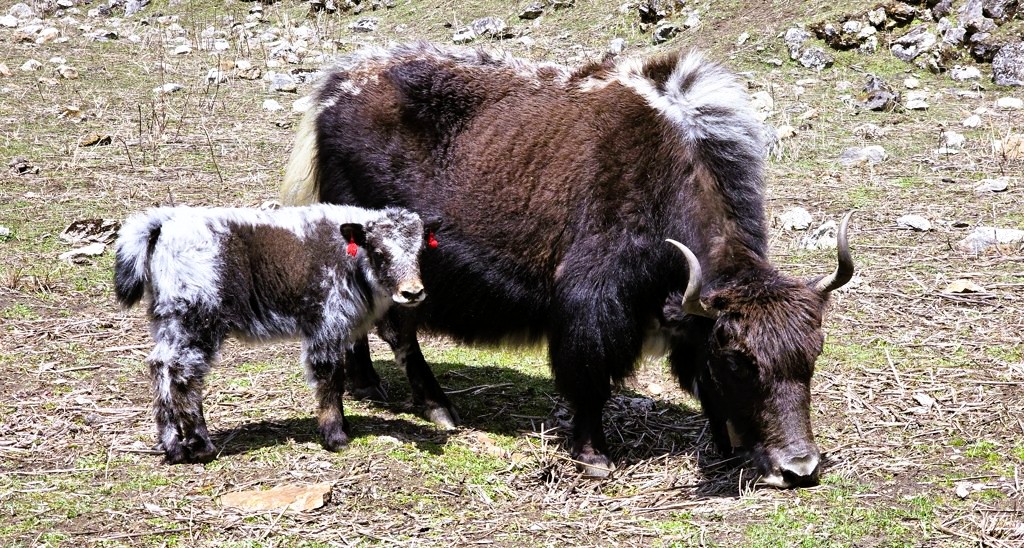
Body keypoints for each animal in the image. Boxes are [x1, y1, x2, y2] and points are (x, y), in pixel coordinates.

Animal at [113, 204, 438, 464]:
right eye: (379, 252)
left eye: (421, 252)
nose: (413, 293)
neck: (351, 260)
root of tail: (163, 225)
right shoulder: (326, 327)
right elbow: (330, 380)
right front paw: (336, 437)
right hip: (197, 321)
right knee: (183, 375)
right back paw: (201, 446)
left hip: (168, 321)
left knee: (160, 367)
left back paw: (172, 447)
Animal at [280, 43, 854, 488]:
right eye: (737, 359)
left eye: (813, 355)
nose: (800, 468)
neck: (668, 175)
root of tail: (333, 89)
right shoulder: (592, 302)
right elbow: (589, 375)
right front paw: (594, 456)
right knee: (395, 327)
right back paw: (437, 408)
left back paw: (368, 386)